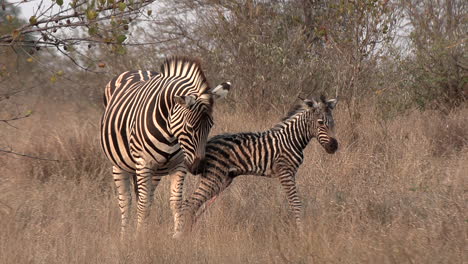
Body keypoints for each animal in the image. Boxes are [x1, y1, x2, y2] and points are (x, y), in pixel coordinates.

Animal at [174, 95, 338, 237]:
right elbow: (296, 204)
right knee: (189, 203)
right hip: (213, 177)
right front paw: (302, 233)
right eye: (320, 122)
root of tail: (205, 144)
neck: (292, 140)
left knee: (194, 205)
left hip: (224, 179)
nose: (334, 147)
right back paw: (181, 236)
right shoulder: (285, 172)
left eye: (333, 123)